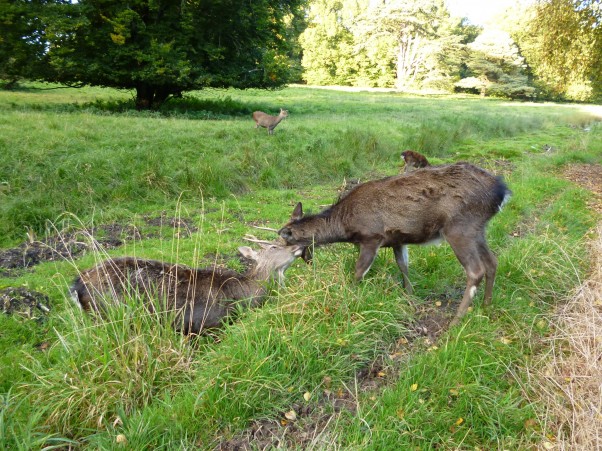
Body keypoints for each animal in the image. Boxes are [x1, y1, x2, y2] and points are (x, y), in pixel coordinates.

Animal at [276, 164, 506, 326]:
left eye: (285, 241)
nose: (307, 260)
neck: (345, 225)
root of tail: (502, 190)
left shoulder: (371, 236)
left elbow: (359, 271)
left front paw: (349, 296)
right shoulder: (398, 240)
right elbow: (403, 266)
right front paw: (410, 296)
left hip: (459, 226)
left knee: (476, 270)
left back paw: (456, 321)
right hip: (478, 229)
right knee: (493, 262)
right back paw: (486, 305)